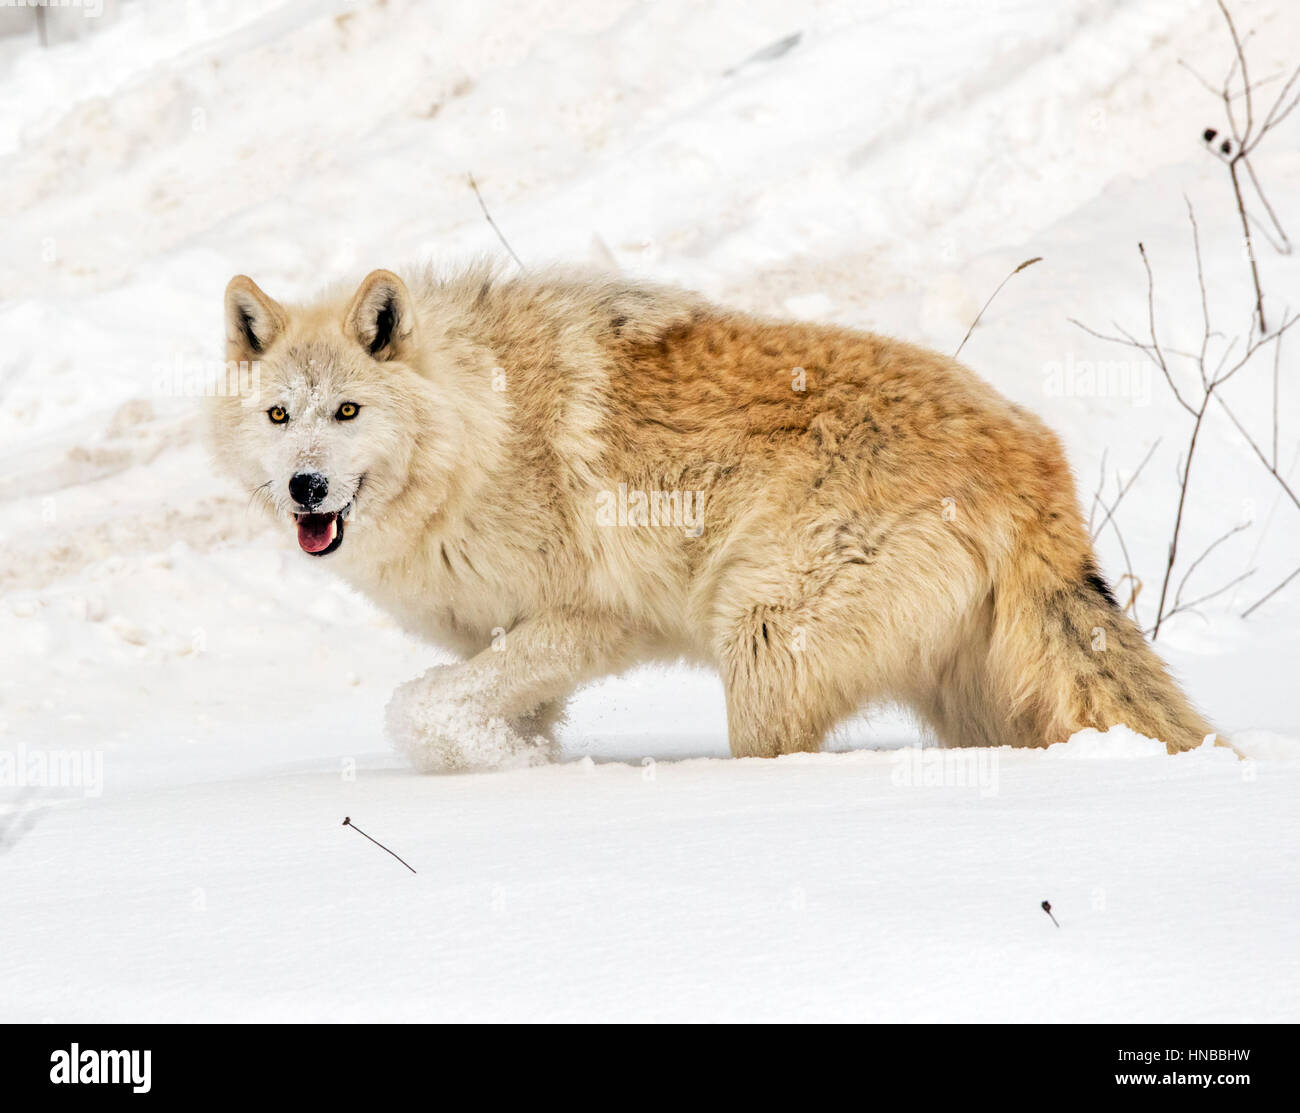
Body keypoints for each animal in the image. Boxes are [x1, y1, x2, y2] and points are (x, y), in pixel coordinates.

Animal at [205, 265, 1219, 771]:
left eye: (347, 412)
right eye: (280, 417)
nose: (305, 487)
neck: (479, 429)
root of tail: (1034, 456)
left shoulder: (590, 622)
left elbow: (419, 707)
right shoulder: (499, 638)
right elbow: (481, 713)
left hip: (762, 646)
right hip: (977, 697)